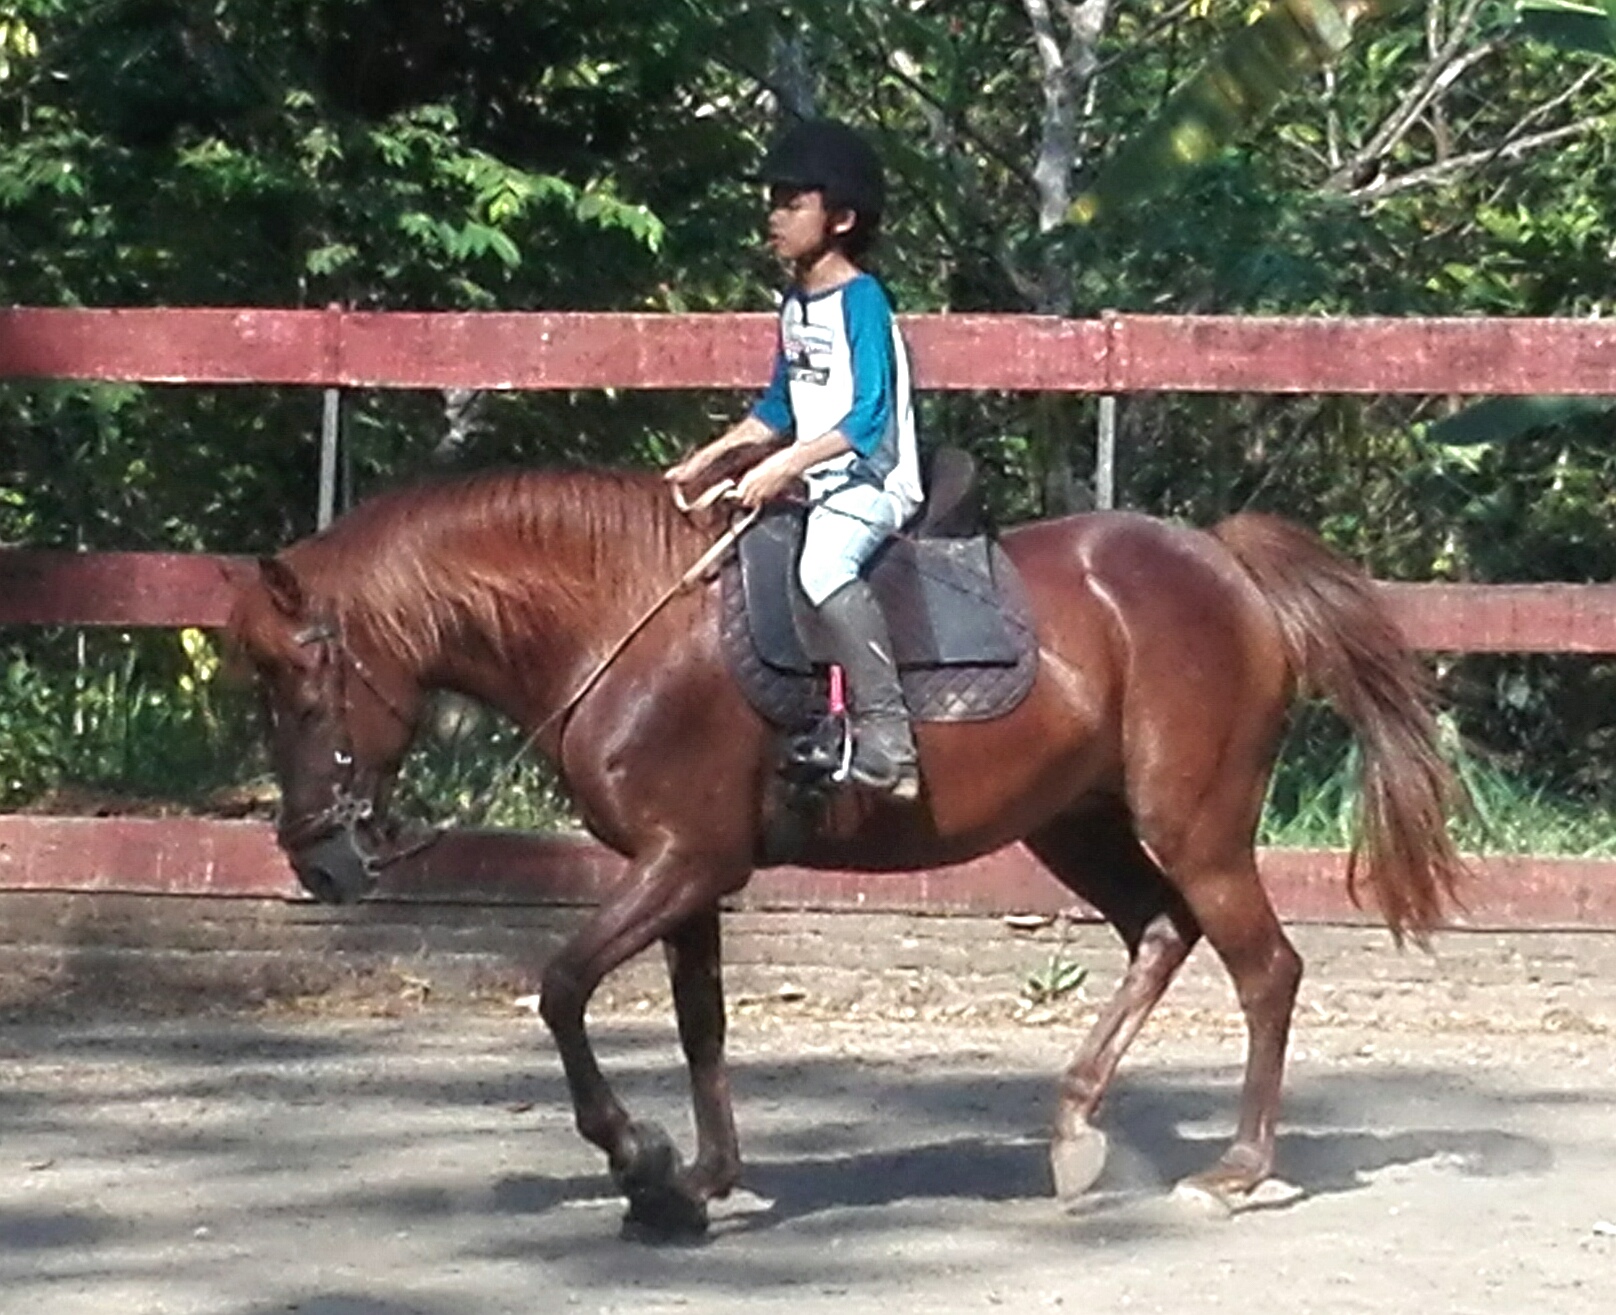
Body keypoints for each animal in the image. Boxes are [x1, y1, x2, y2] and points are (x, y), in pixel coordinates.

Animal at [227, 468, 1467, 1240]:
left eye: (298, 686)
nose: (317, 863)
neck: (623, 621)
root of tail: (1220, 560)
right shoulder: (688, 874)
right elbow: (700, 1022)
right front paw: (704, 1178)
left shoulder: (682, 862)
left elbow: (564, 986)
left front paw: (642, 1164)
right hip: (1075, 823)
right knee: (1159, 934)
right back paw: (1075, 1127)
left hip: (1194, 824)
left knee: (1263, 968)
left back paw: (1231, 1170)